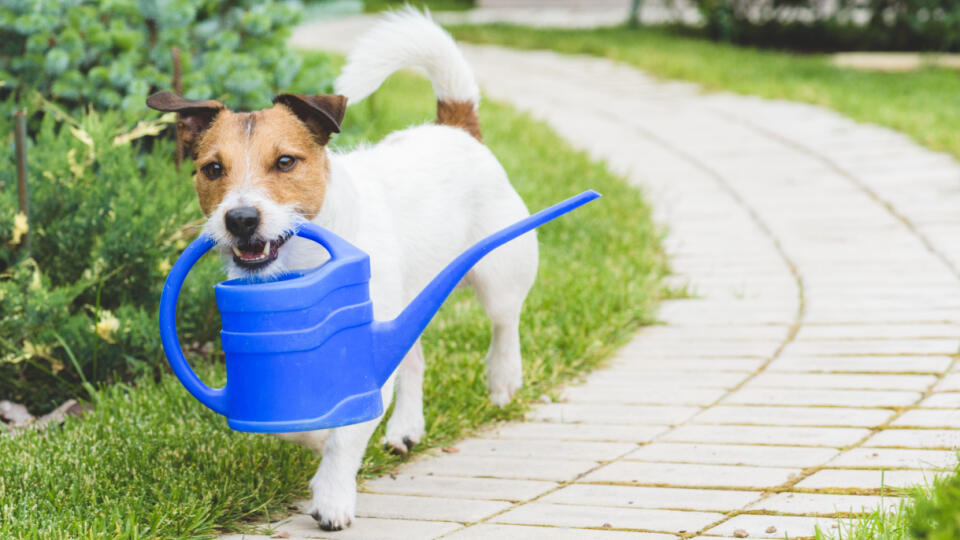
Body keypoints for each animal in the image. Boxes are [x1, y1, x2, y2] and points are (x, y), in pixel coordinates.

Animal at [150, 8, 540, 532]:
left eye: (285, 161)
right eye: (213, 169)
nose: (240, 218)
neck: (302, 262)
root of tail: (456, 127)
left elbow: (345, 436)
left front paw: (333, 496)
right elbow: (310, 424)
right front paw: (318, 437)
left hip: (499, 270)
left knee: (505, 320)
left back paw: (502, 378)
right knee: (413, 358)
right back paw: (406, 426)